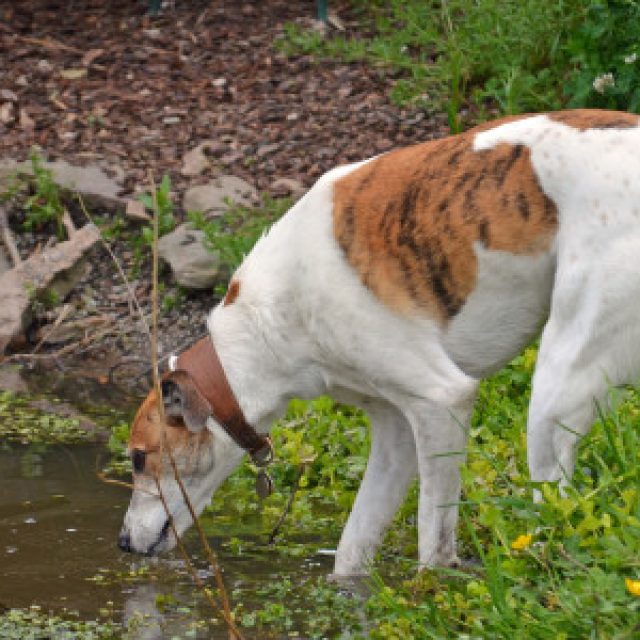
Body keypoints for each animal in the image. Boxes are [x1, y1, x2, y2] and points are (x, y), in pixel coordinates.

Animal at [119, 110, 640, 576]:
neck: (265, 321)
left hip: (553, 399)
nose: (122, 543)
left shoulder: (441, 402)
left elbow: (434, 545)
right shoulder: (395, 432)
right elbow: (353, 553)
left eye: (139, 458)